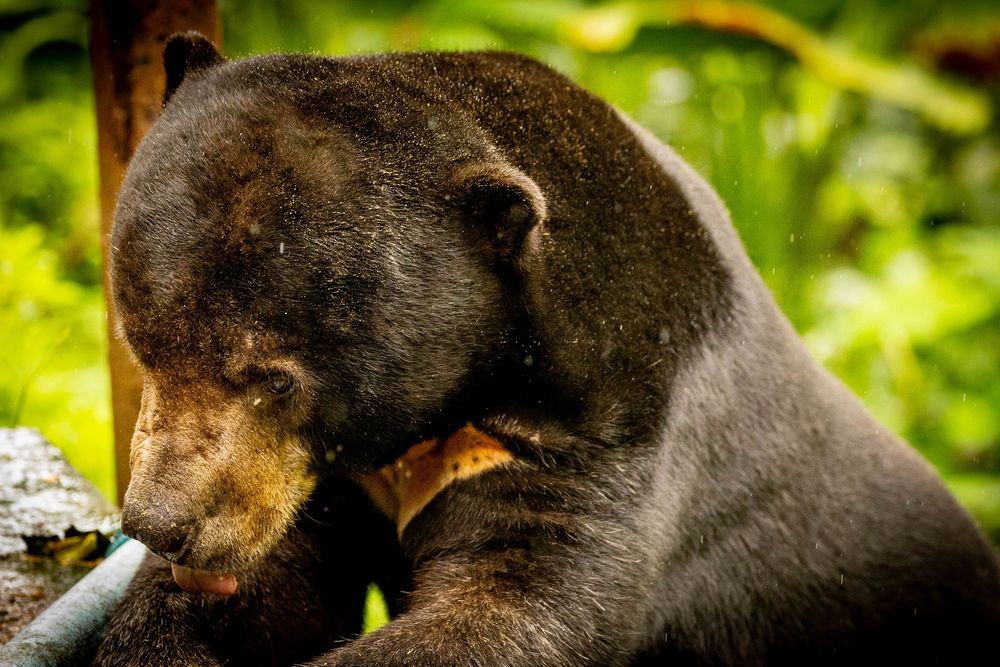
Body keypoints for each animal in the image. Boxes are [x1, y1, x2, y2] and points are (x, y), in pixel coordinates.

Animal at [93, 32, 1000, 666]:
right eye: (141, 346)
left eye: (275, 379)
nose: (161, 522)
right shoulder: (322, 477)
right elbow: (273, 574)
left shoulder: (608, 443)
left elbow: (513, 609)